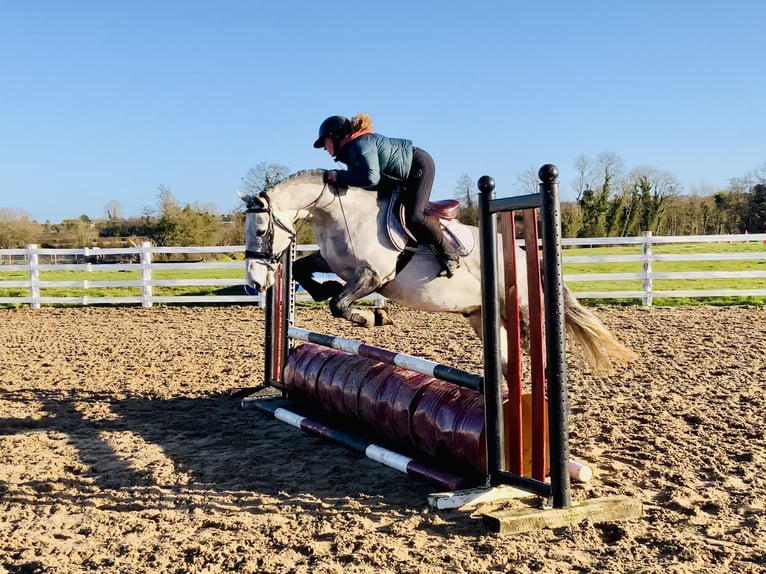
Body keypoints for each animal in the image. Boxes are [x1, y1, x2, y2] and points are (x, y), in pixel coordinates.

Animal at [241, 169, 637, 374]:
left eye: (260, 231)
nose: (255, 282)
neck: (338, 210)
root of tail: (530, 258)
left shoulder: (374, 274)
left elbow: (340, 304)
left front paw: (371, 318)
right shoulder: (334, 264)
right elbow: (304, 271)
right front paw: (325, 293)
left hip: (522, 312)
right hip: (482, 317)